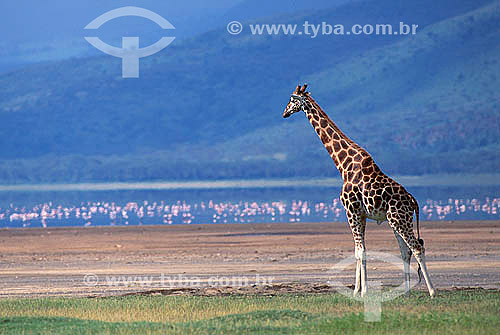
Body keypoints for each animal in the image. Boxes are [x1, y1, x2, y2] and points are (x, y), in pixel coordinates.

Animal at [284, 84, 436, 300]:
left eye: (291, 99)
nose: (284, 113)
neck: (343, 165)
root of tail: (414, 201)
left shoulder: (352, 211)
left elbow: (361, 251)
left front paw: (363, 291)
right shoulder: (360, 214)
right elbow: (357, 251)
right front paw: (356, 290)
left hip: (399, 218)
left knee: (417, 247)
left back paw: (432, 291)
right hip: (396, 220)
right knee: (405, 250)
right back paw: (405, 292)